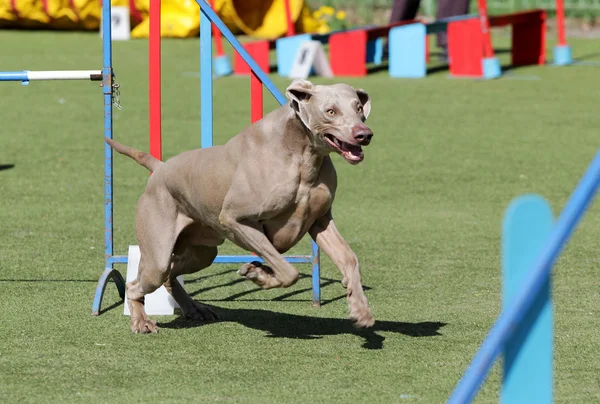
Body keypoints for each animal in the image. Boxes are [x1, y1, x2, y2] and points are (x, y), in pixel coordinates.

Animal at [105, 77, 372, 332]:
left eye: (359, 108)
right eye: (330, 111)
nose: (364, 134)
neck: (302, 155)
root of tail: (159, 168)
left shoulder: (319, 221)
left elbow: (350, 259)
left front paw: (361, 309)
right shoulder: (236, 219)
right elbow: (289, 271)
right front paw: (259, 275)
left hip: (203, 252)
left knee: (171, 275)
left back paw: (195, 309)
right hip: (157, 251)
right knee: (139, 283)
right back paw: (141, 321)